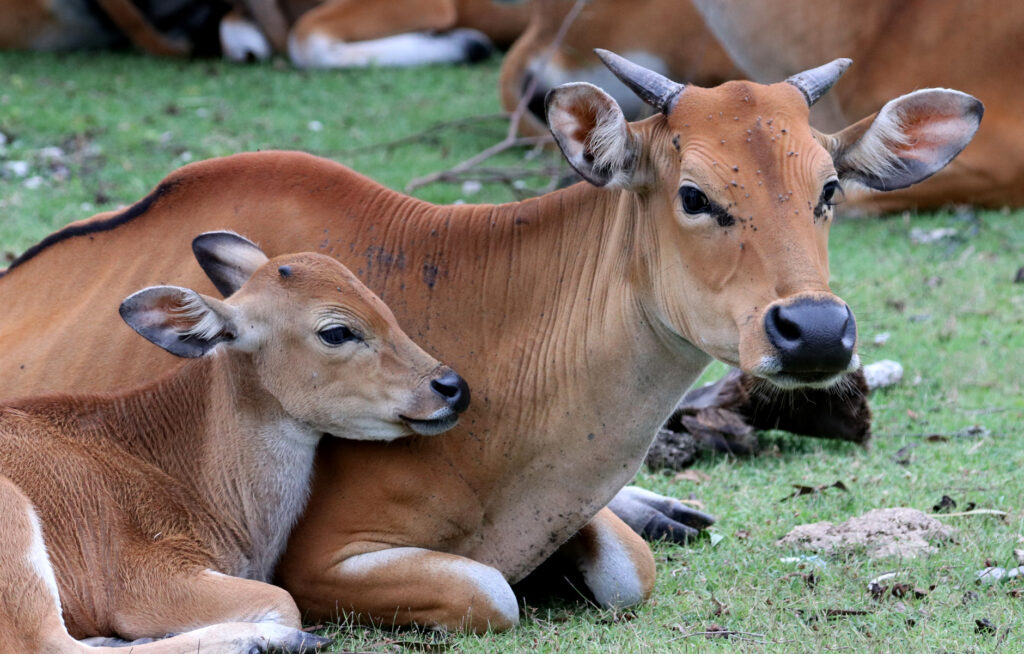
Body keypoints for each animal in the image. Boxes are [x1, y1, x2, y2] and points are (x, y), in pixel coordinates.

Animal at [0, 232, 468, 651]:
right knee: (45, 643)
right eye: (336, 332)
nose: (452, 387)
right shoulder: (143, 578)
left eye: (381, 304)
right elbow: (283, 600)